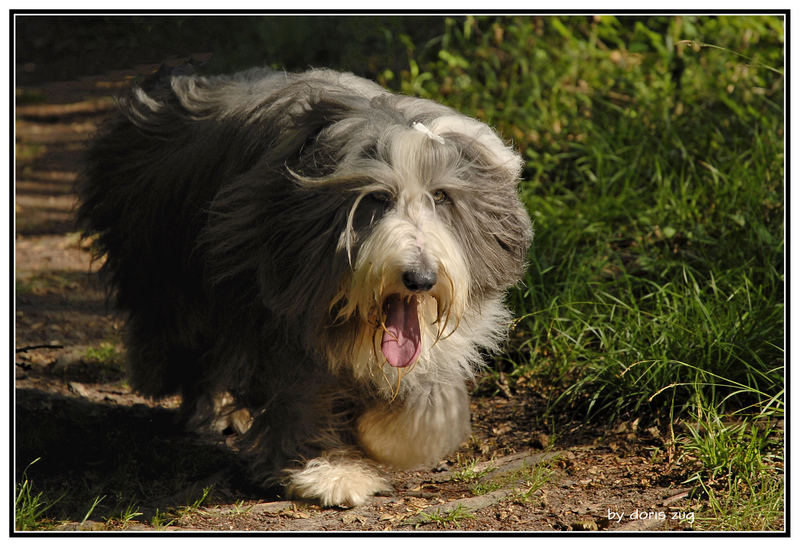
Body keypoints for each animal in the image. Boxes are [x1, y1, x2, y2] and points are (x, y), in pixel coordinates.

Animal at [78, 66, 536, 508]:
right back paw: (211, 410)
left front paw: (392, 436)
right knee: (192, 343)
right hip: (170, 271)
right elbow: (303, 393)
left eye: (440, 196)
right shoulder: (280, 312)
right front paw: (329, 473)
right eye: (377, 197)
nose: (420, 279)